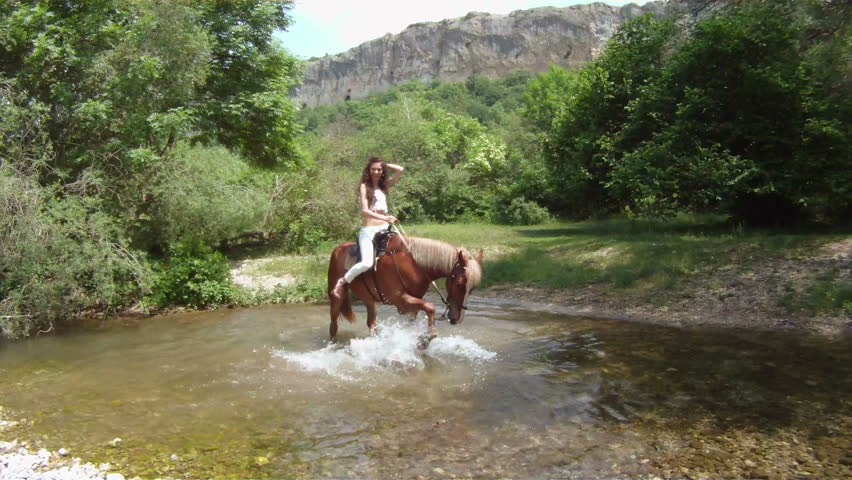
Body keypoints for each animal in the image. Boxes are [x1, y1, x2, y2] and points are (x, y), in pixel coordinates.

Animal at [326, 231, 482, 346]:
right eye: (459, 284)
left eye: (472, 288)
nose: (457, 318)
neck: (414, 264)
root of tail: (338, 248)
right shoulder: (400, 301)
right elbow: (430, 307)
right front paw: (427, 339)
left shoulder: (413, 302)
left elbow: (416, 317)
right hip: (336, 300)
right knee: (333, 325)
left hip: (369, 300)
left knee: (371, 323)